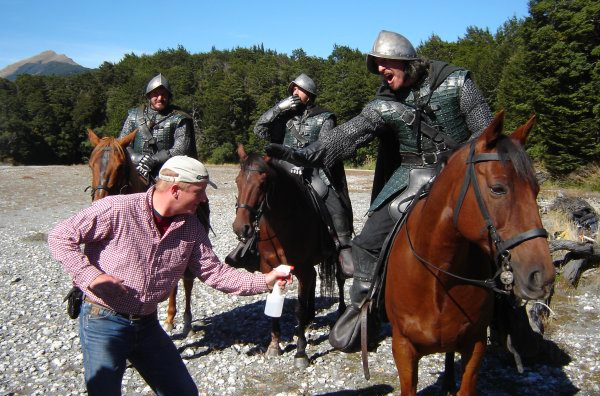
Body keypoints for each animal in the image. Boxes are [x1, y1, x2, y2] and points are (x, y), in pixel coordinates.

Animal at [233, 145, 346, 368]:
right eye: (237, 180)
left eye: (263, 183)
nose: (241, 228)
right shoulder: (270, 268)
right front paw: (274, 345)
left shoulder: (301, 268)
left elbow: (298, 309)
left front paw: (301, 353)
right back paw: (311, 318)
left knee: (340, 278)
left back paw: (340, 313)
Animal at [382, 112, 556, 396]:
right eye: (497, 188)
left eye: (536, 190)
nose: (541, 275)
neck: (438, 275)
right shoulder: (403, 347)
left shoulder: (475, 345)